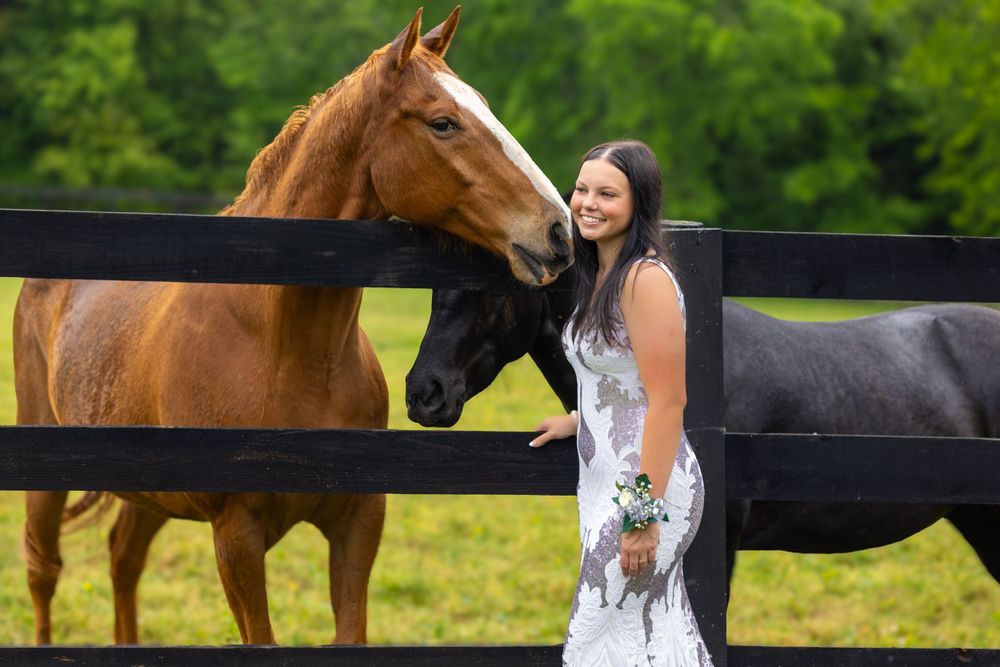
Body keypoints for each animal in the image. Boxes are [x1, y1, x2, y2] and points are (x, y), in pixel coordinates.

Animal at [13, 7, 573, 646]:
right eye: (443, 123)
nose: (558, 229)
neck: (285, 349)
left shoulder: (359, 521)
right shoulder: (236, 539)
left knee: (123, 559)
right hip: (44, 472)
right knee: (43, 571)